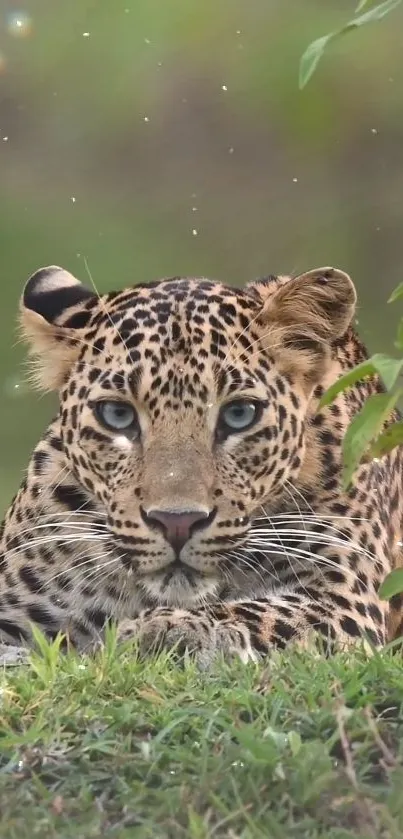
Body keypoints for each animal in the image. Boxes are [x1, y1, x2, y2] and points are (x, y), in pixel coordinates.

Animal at [0, 262, 403, 668]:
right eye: (117, 414)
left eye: (240, 414)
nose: (177, 523)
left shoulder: (343, 597)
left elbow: (260, 613)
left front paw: (166, 628)